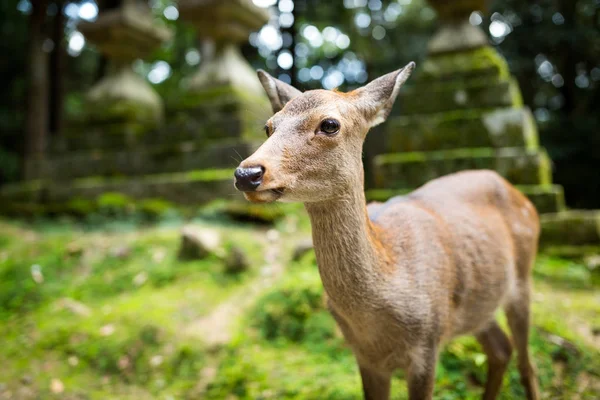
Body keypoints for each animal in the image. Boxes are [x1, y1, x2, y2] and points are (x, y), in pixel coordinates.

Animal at [232, 61, 540, 398]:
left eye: (329, 124)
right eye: (269, 126)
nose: (247, 173)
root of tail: (520, 195)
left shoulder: (427, 344)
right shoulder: (365, 357)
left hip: (523, 278)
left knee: (527, 363)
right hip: (479, 304)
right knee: (501, 349)